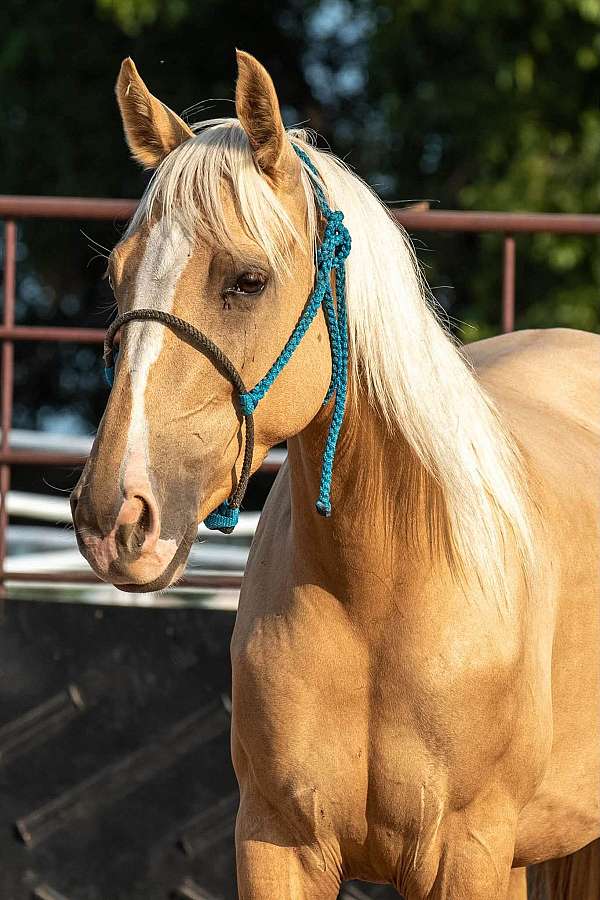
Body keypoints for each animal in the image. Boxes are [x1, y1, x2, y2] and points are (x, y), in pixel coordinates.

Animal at [71, 51, 600, 898]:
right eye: (117, 277)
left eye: (247, 280)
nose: (113, 517)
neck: (378, 588)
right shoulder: (276, 843)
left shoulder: (470, 851)